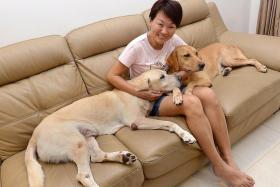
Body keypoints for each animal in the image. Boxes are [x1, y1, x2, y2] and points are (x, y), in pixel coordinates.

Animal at [25, 68, 197, 187]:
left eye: (166, 72)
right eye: (162, 77)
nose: (180, 77)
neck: (136, 92)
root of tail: (34, 136)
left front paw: (177, 96)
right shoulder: (137, 121)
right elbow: (169, 123)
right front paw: (185, 134)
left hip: (88, 137)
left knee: (97, 157)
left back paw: (123, 157)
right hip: (77, 143)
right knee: (83, 176)